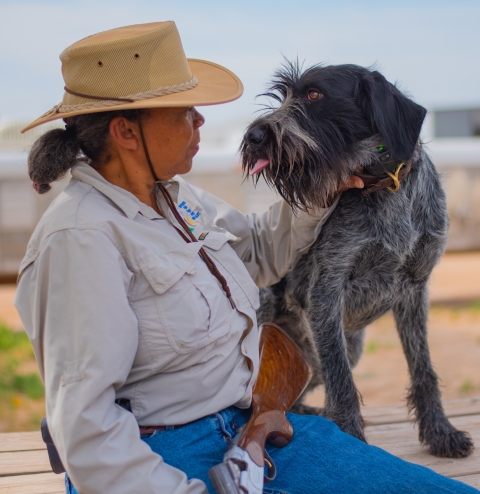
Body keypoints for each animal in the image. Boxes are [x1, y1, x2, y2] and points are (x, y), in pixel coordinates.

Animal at [242, 61, 474, 460]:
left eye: (314, 94)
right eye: (285, 96)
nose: (253, 135)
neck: (386, 185)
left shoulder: (414, 288)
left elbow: (423, 370)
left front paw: (440, 433)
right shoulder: (325, 290)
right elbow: (343, 384)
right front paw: (351, 438)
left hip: (341, 347)